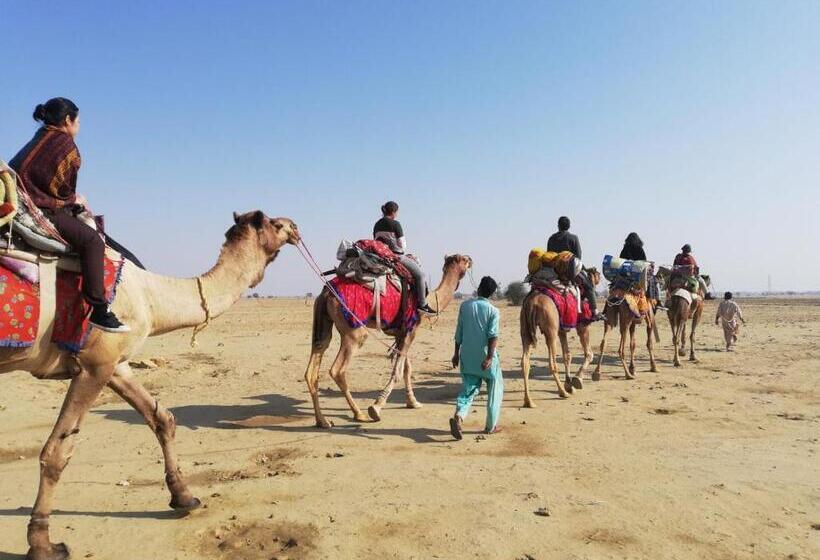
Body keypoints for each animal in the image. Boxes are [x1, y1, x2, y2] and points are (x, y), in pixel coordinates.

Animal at [0, 211, 299, 560]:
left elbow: (161, 418)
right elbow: (57, 451)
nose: (296, 228)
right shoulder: (94, 365)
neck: (150, 296)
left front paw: (185, 497)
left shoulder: (116, 364)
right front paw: (42, 543)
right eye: (277, 224)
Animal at [304, 254, 472, 428]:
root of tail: (326, 293)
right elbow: (398, 371)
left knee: (313, 367)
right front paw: (377, 407)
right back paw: (359, 414)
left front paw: (413, 402)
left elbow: (406, 369)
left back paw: (322, 420)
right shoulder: (411, 330)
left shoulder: (401, 333)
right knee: (337, 370)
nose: (471, 260)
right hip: (353, 330)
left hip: (323, 322)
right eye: (465, 260)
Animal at [520, 268, 602, 405]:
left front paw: (569, 385)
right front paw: (577, 380)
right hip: (550, 329)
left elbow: (567, 355)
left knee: (525, 362)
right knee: (552, 363)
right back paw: (562, 393)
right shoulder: (582, 325)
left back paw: (529, 401)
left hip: (525, 329)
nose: (599, 277)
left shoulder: (561, 330)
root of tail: (533, 303)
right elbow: (589, 353)